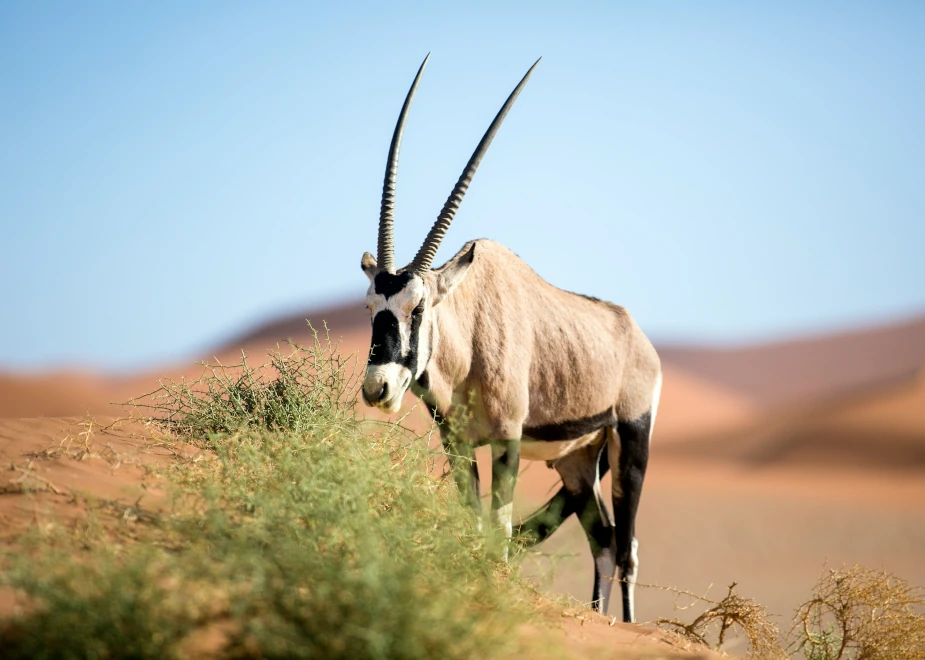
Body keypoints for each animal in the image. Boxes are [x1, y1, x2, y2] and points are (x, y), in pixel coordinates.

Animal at [358, 56, 660, 624]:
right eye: (370, 309)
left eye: (418, 308)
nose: (377, 388)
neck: (470, 334)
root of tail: (635, 333)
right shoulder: (456, 443)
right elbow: (474, 525)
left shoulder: (507, 438)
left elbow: (496, 534)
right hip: (577, 461)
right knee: (604, 540)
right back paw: (600, 617)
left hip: (630, 441)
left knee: (628, 548)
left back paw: (628, 625)